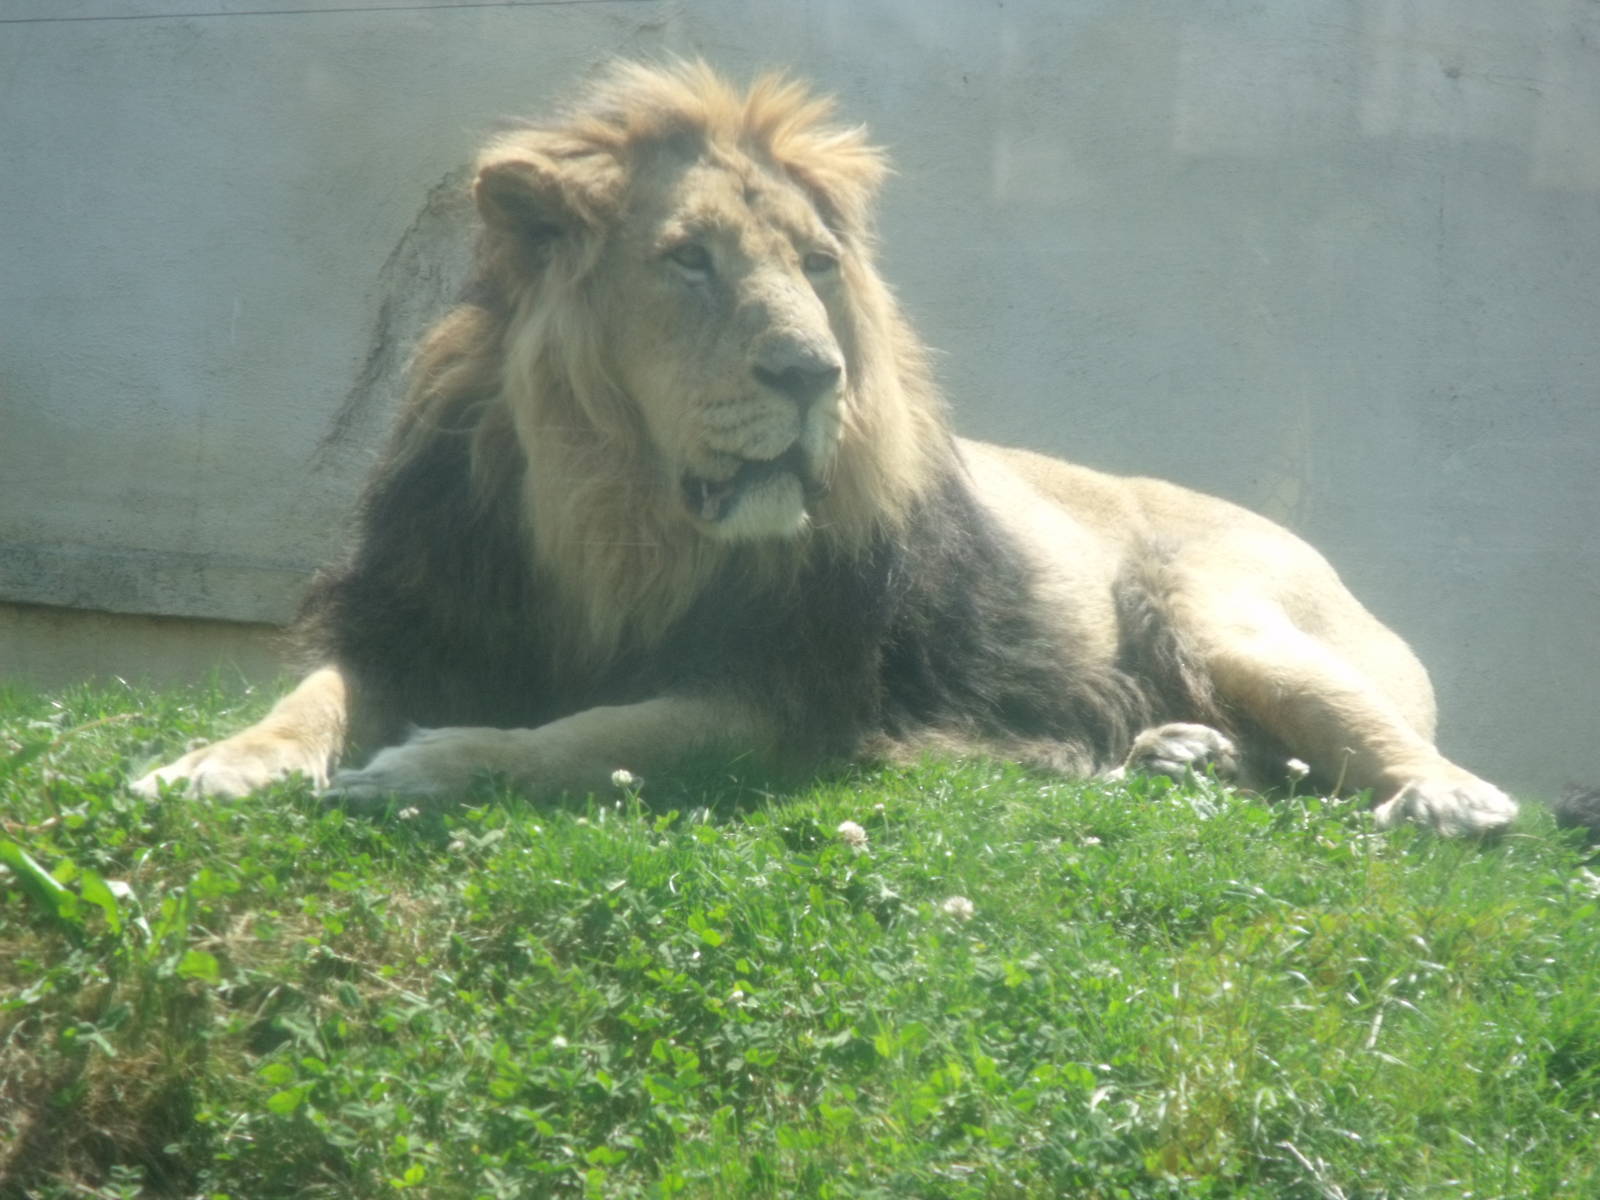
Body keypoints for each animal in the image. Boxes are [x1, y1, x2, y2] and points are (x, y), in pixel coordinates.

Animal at [134, 60, 1517, 837]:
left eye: (814, 266)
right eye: (689, 260)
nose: (815, 376)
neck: (613, 513)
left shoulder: (783, 697)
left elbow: (593, 737)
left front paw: (431, 768)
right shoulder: (421, 619)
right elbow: (305, 702)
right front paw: (206, 768)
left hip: (1225, 607)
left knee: (1385, 740)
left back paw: (1445, 799)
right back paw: (1181, 750)